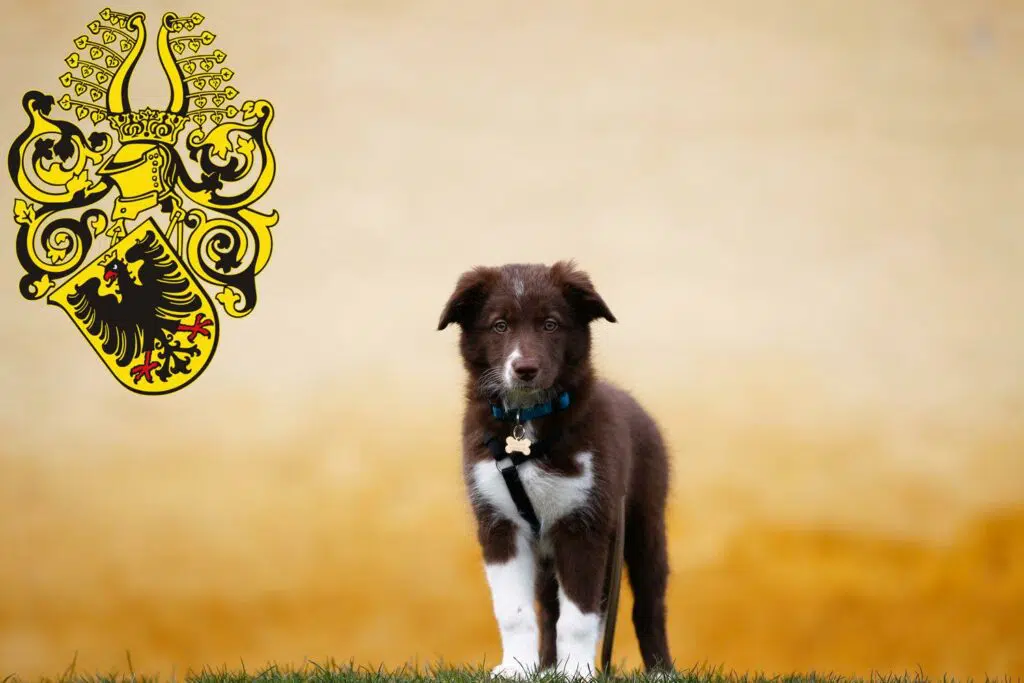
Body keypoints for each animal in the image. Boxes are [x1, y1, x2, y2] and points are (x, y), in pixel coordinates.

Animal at [438, 260, 671, 679]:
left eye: (550, 324)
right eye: (500, 325)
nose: (525, 369)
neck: (525, 423)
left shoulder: (584, 525)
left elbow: (579, 616)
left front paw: (577, 671)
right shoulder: (499, 523)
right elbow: (515, 612)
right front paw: (517, 668)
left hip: (643, 523)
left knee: (648, 603)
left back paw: (661, 670)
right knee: (549, 609)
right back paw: (546, 667)